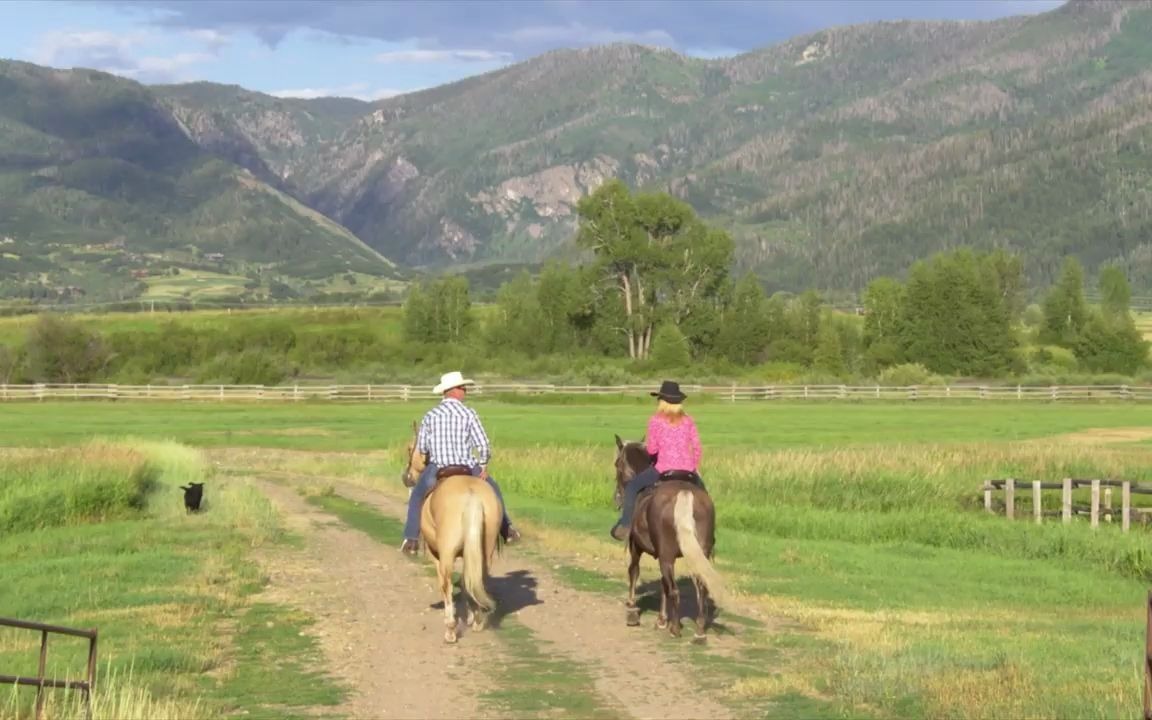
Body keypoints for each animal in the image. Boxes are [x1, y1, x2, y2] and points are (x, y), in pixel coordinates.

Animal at [403, 419, 502, 645]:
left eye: (410, 448)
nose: (407, 478)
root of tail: (471, 494)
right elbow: (466, 584)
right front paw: (471, 616)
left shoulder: (436, 555)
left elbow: (444, 584)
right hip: (486, 549)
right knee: (477, 579)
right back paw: (477, 621)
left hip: (447, 553)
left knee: (448, 583)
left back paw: (450, 630)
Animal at [612, 433, 728, 640]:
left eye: (617, 463)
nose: (617, 497)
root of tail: (684, 493)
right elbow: (663, 584)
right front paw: (661, 620)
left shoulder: (636, 546)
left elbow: (634, 572)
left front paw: (632, 610)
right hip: (698, 553)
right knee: (700, 586)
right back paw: (699, 630)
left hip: (665, 555)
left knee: (673, 589)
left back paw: (675, 628)